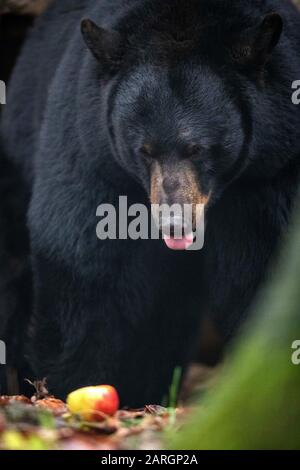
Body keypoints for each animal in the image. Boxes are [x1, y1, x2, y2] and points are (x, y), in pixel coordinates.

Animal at [0, 0, 300, 404]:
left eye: (197, 148)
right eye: (144, 150)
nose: (173, 223)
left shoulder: (271, 168)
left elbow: (264, 263)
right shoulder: (93, 150)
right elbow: (88, 266)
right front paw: (72, 383)